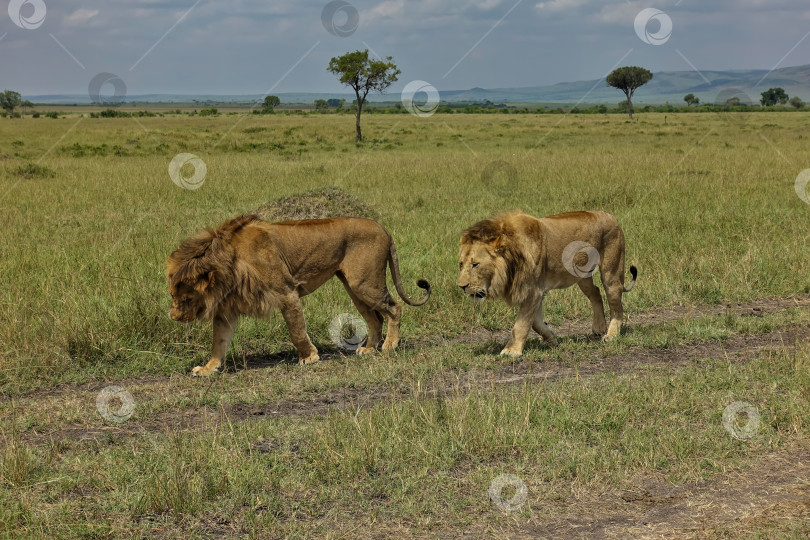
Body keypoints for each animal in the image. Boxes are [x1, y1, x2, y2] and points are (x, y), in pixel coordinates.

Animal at [165, 215, 430, 376]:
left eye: (186, 299)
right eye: (172, 295)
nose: (173, 317)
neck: (229, 262)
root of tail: (383, 228)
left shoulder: (286, 291)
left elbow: (296, 330)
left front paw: (309, 358)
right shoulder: (226, 310)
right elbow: (218, 342)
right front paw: (208, 368)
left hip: (364, 283)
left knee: (395, 308)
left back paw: (389, 346)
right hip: (354, 288)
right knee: (375, 319)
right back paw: (369, 349)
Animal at [458, 211, 636, 358]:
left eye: (475, 264)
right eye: (461, 264)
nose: (461, 286)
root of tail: (611, 216)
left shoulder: (533, 291)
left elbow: (521, 324)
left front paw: (511, 351)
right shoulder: (538, 293)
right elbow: (536, 323)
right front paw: (552, 338)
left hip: (611, 273)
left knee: (616, 306)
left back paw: (611, 335)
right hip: (582, 277)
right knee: (596, 293)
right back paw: (598, 328)